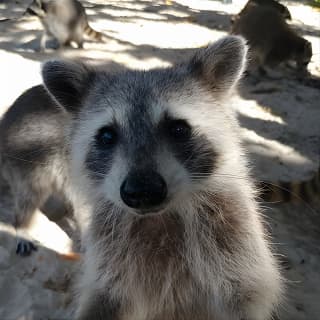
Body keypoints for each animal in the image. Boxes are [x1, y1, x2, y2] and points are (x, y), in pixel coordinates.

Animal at [39, 35, 282, 320]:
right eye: (107, 136)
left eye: (178, 129)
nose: (142, 191)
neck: (161, 217)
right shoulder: (109, 254)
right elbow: (105, 297)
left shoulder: (234, 238)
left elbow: (244, 292)